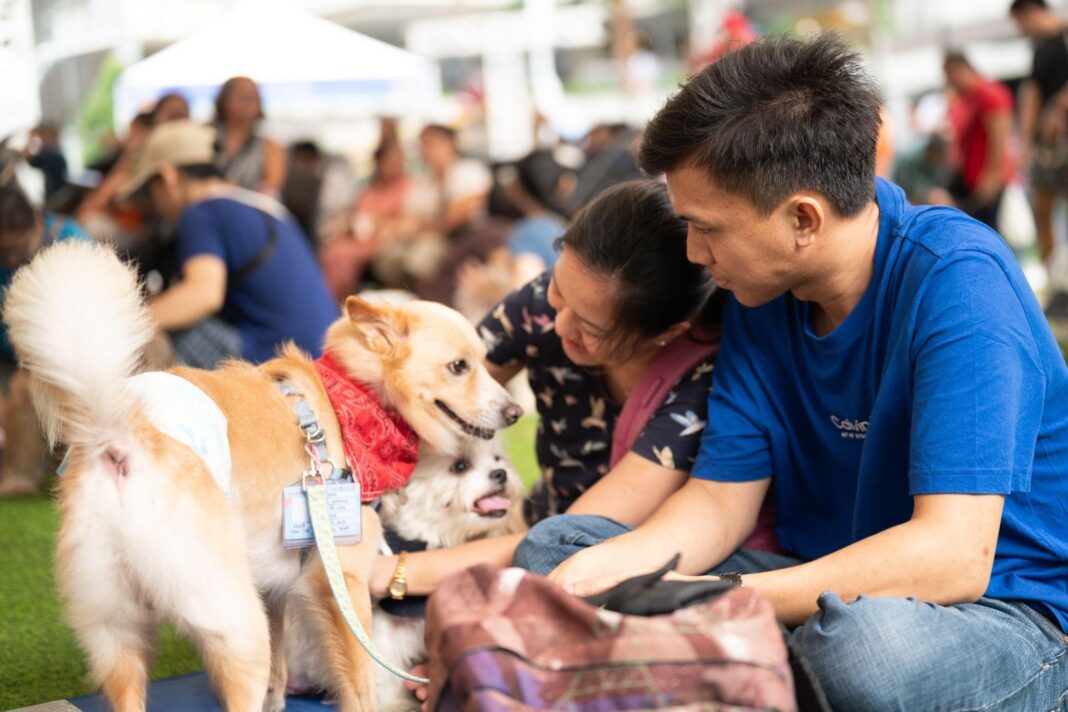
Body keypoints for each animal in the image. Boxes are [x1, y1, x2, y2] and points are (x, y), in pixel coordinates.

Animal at [3, 241, 521, 712]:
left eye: (484, 360)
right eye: (459, 366)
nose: (515, 412)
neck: (352, 402)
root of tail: (119, 435)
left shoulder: (276, 585)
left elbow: (280, 675)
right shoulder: (342, 584)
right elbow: (361, 686)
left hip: (118, 634)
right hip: (235, 624)